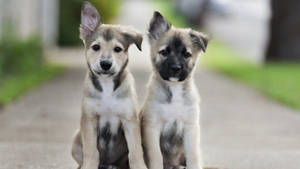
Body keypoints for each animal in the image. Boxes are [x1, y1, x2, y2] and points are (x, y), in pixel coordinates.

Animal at [72, 1, 149, 169]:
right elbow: (91, 151)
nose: (106, 64)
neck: (107, 85)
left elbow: (135, 152)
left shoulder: (130, 120)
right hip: (76, 138)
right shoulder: (89, 119)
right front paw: (89, 166)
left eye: (117, 49)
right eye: (96, 47)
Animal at [141, 11, 209, 169]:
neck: (174, 89)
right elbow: (156, 156)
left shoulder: (190, 128)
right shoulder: (152, 127)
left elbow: (193, 156)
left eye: (186, 54)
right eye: (164, 52)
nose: (176, 68)